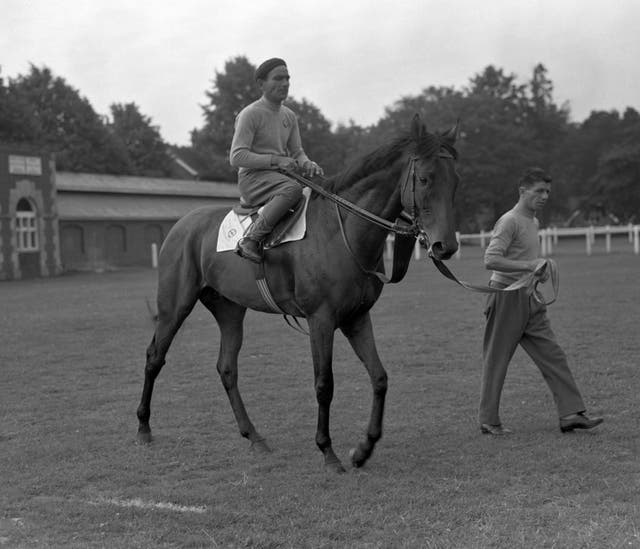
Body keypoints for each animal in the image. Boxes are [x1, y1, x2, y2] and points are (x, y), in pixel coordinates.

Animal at [138, 114, 460, 470]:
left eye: (455, 182)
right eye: (425, 178)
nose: (445, 246)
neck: (341, 231)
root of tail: (182, 225)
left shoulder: (357, 318)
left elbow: (379, 377)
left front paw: (364, 448)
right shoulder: (321, 320)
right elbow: (324, 384)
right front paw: (327, 450)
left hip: (229, 310)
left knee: (227, 368)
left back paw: (254, 437)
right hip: (175, 306)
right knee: (155, 357)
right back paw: (143, 428)